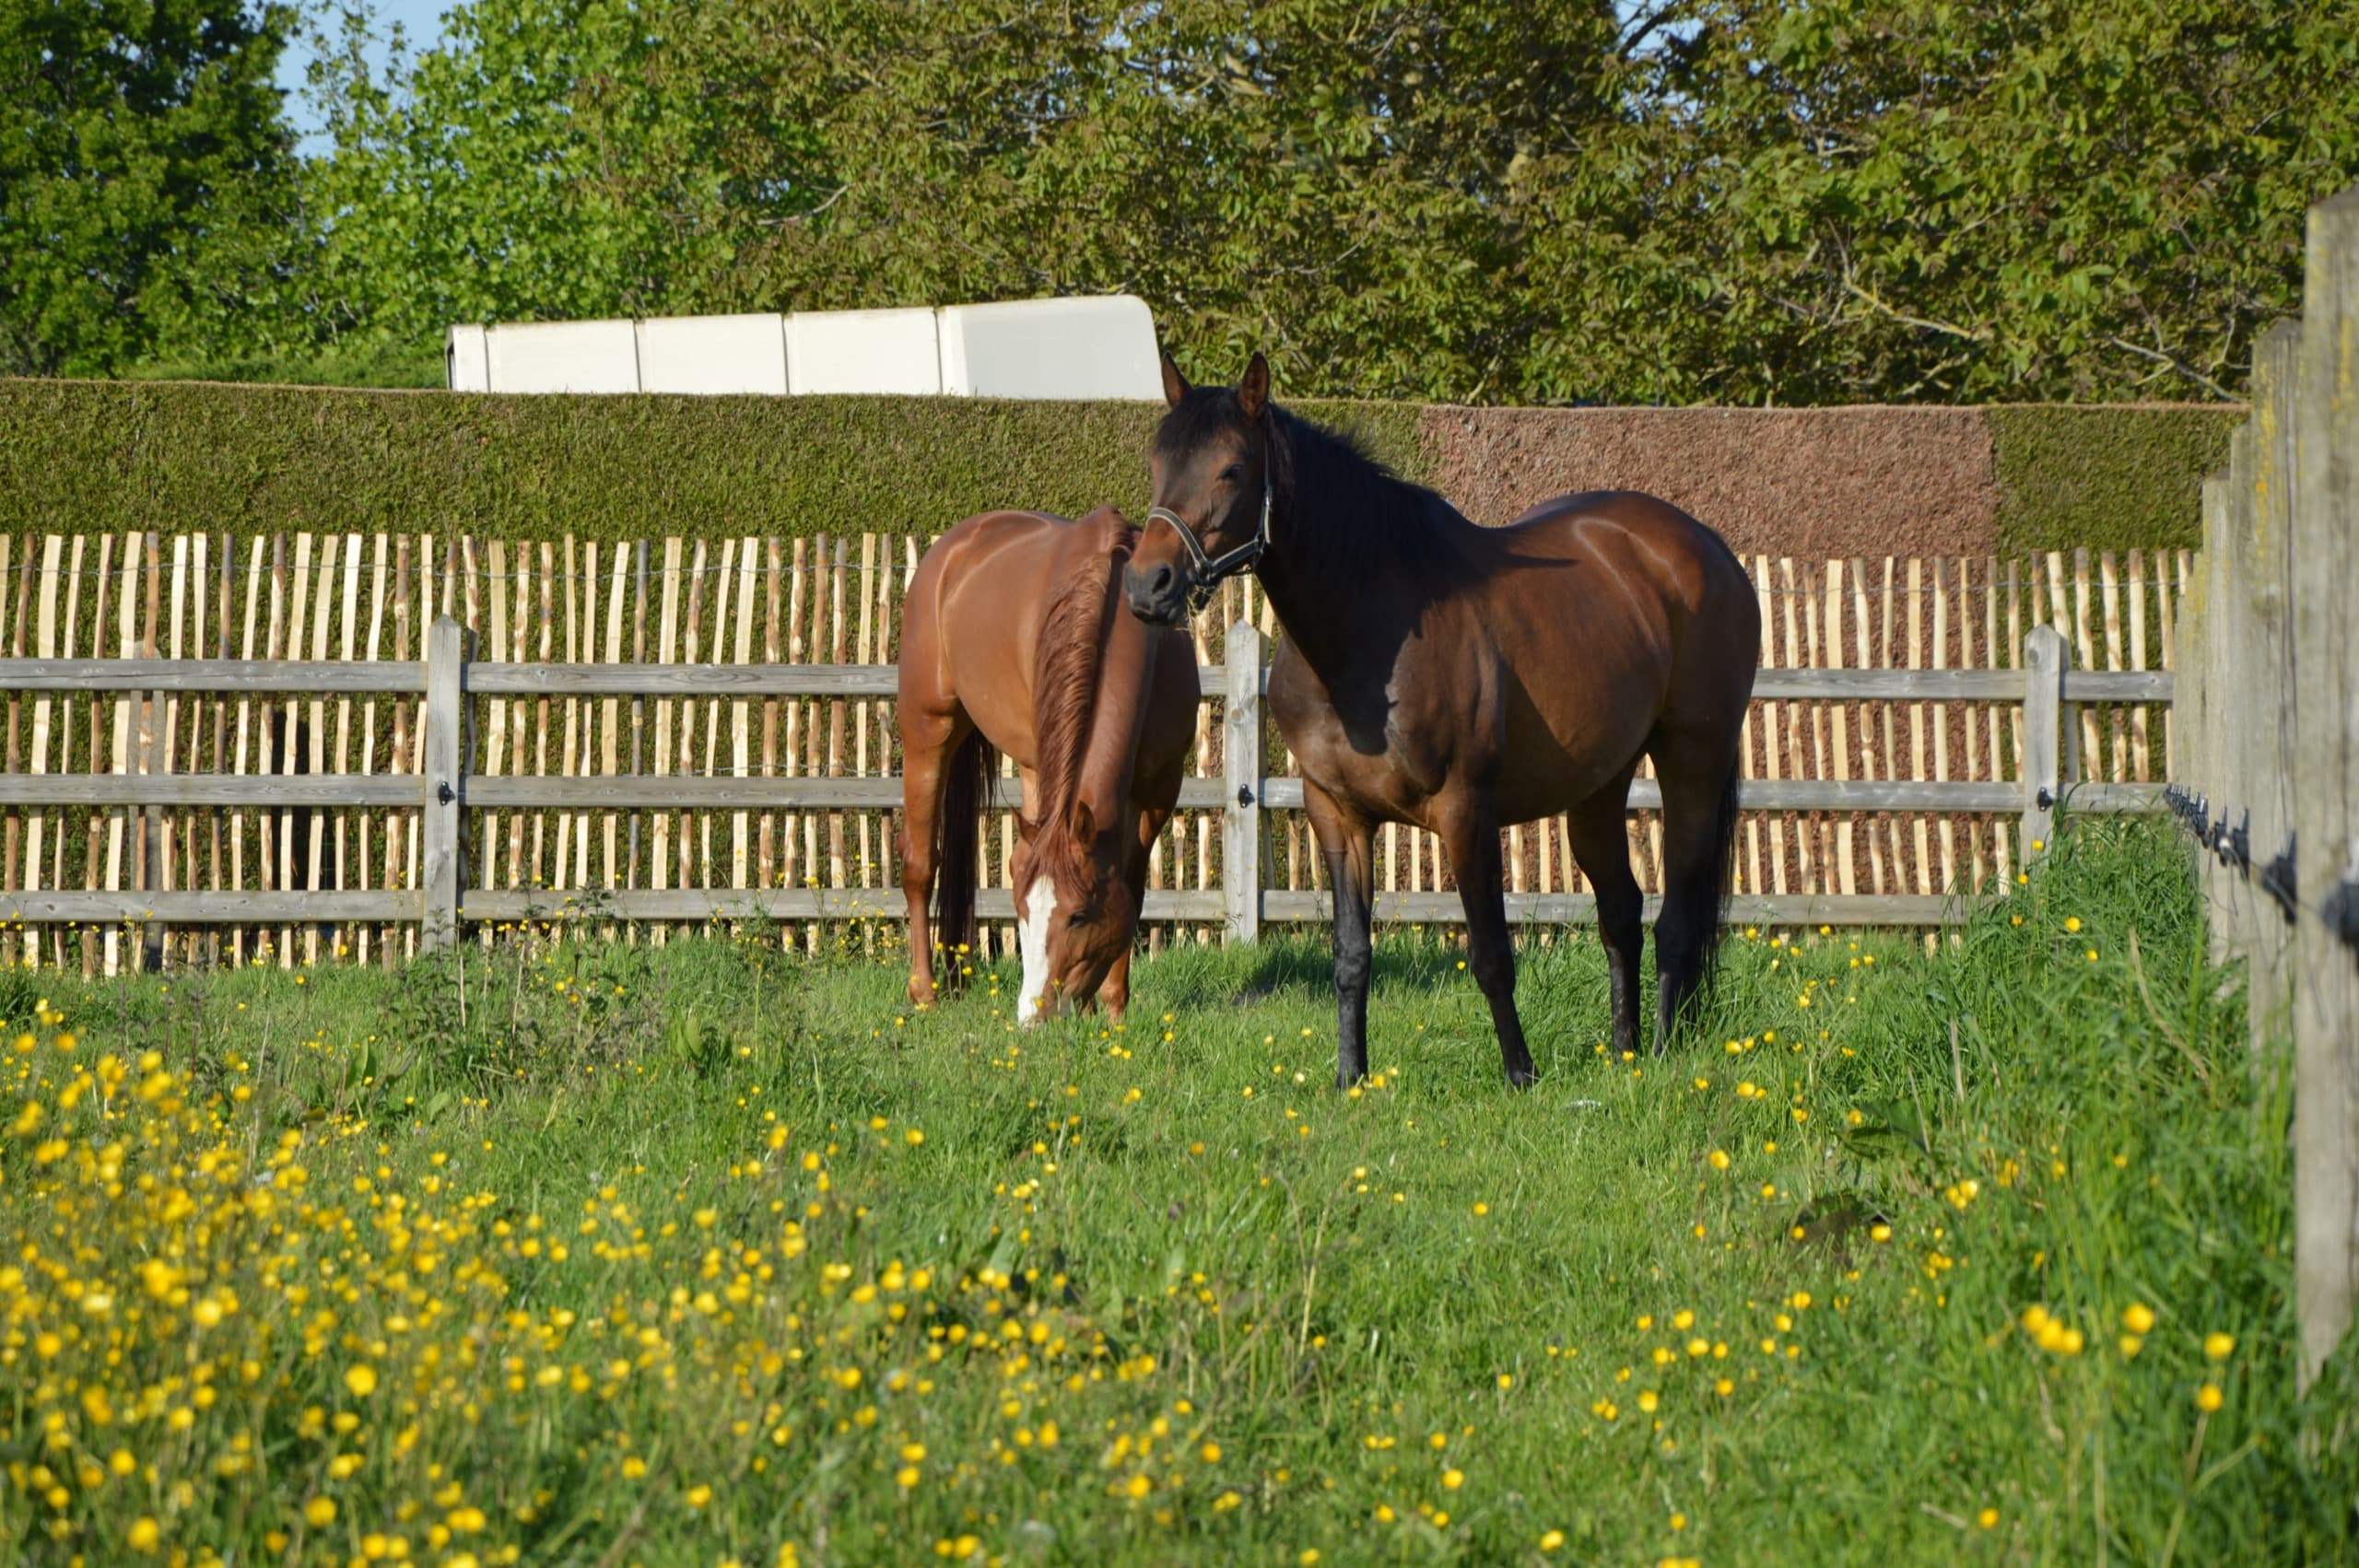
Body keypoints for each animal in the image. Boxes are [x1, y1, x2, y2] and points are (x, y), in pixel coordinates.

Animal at [898, 506, 1199, 1024]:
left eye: (1079, 915)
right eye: (1020, 910)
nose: (1032, 1016)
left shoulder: (1160, 787)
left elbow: (1132, 887)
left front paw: (1112, 1011)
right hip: (928, 730)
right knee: (920, 864)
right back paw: (925, 993)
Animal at [1123, 353, 1761, 1087]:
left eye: (1230, 468)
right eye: (1157, 461)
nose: (1147, 585)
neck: (1370, 635)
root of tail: (1703, 547)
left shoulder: (1465, 811)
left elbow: (1490, 956)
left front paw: (1520, 1076)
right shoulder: (1336, 815)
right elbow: (1351, 955)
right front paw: (1350, 1078)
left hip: (1694, 761)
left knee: (1677, 918)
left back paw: (1657, 1052)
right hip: (1599, 785)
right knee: (1621, 911)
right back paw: (1624, 1048)